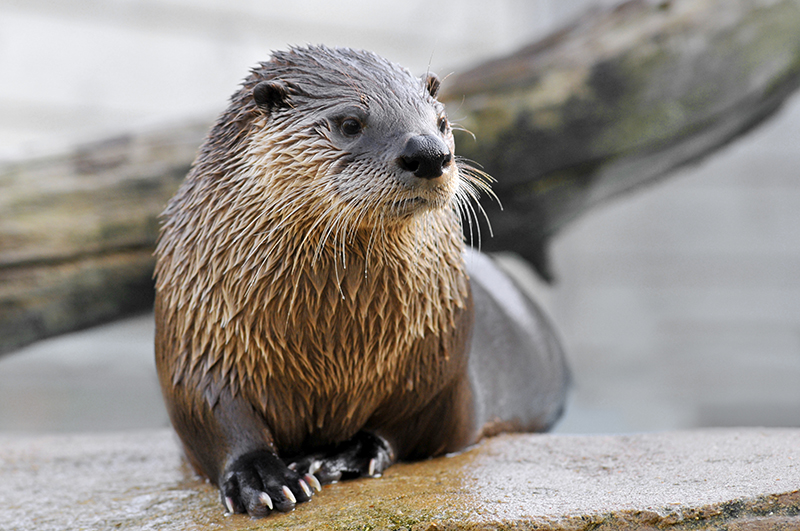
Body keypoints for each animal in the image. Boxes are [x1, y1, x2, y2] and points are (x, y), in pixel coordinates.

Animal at [155, 45, 568, 517]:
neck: (331, 343)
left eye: (442, 122)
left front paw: (342, 454)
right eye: (350, 123)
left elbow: (410, 420)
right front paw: (259, 475)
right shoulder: (197, 342)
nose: (430, 152)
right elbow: (212, 416)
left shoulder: (436, 353)